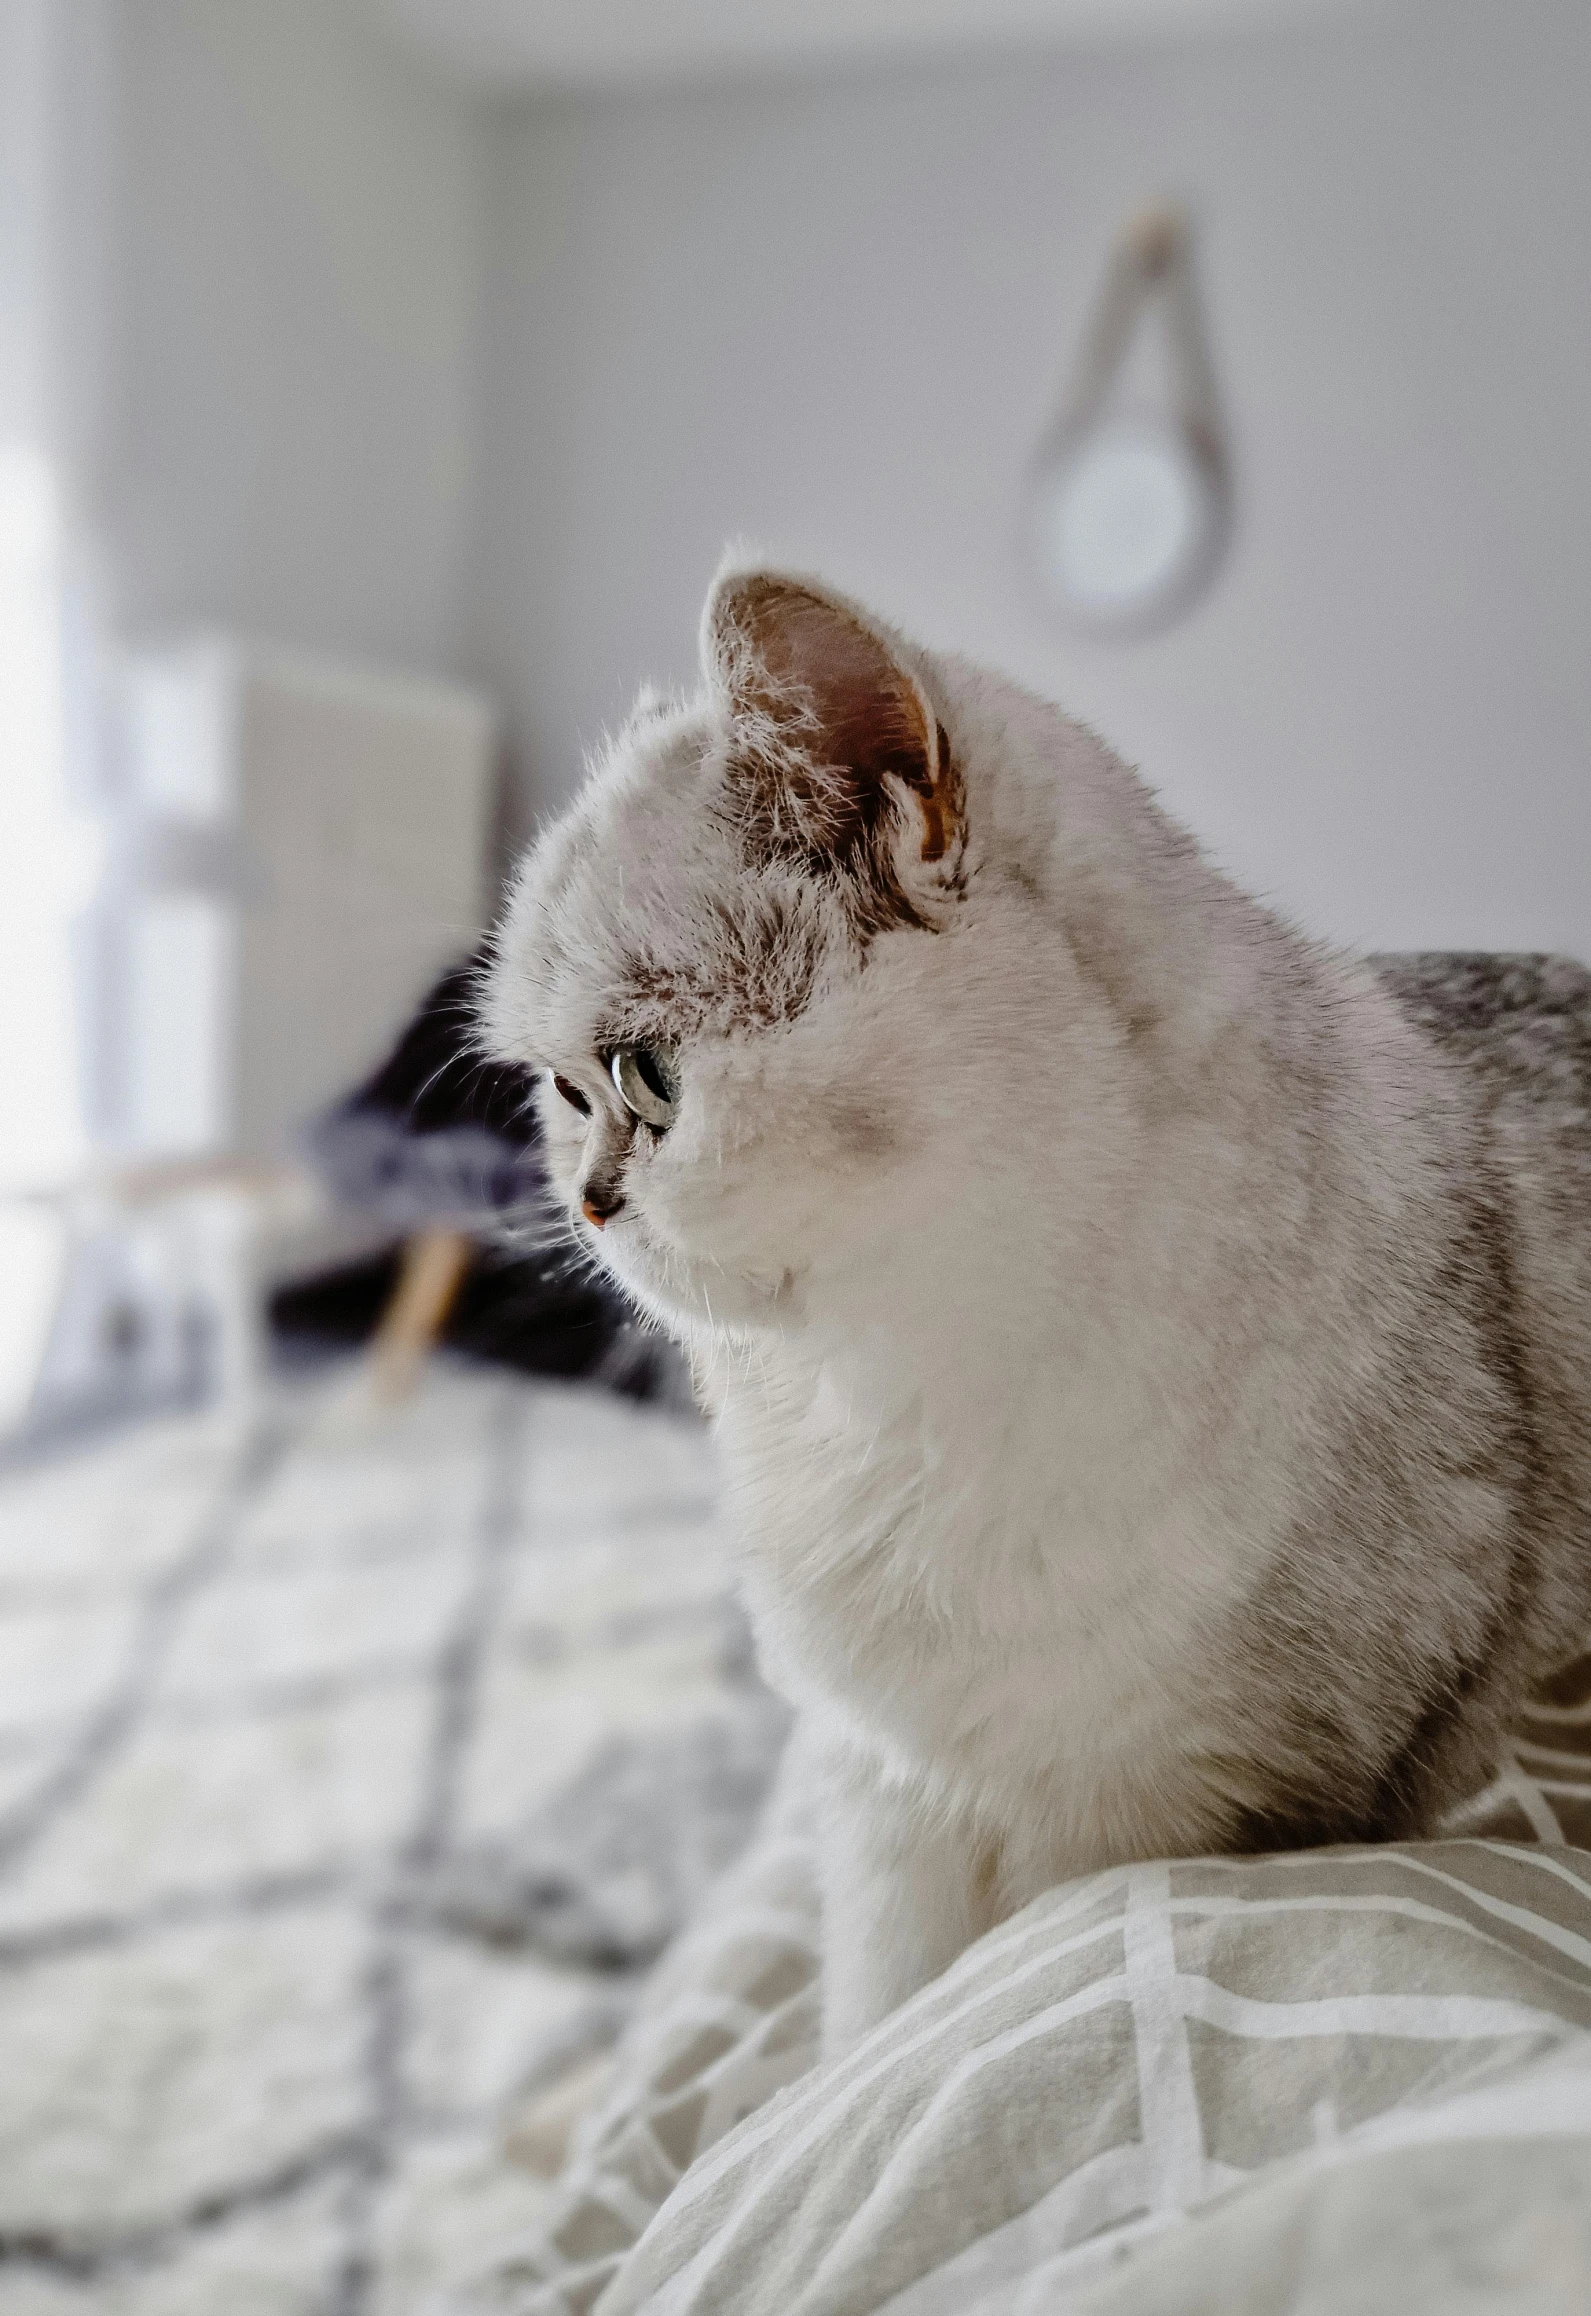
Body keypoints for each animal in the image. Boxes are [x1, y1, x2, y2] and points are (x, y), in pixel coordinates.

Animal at [486, 560, 1591, 2047]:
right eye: (560, 1093)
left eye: (643, 1075)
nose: (589, 1204)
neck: (887, 1406)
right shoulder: (884, 1794)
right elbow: (876, 2017)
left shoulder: (1156, 1803)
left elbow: (1000, 1980)